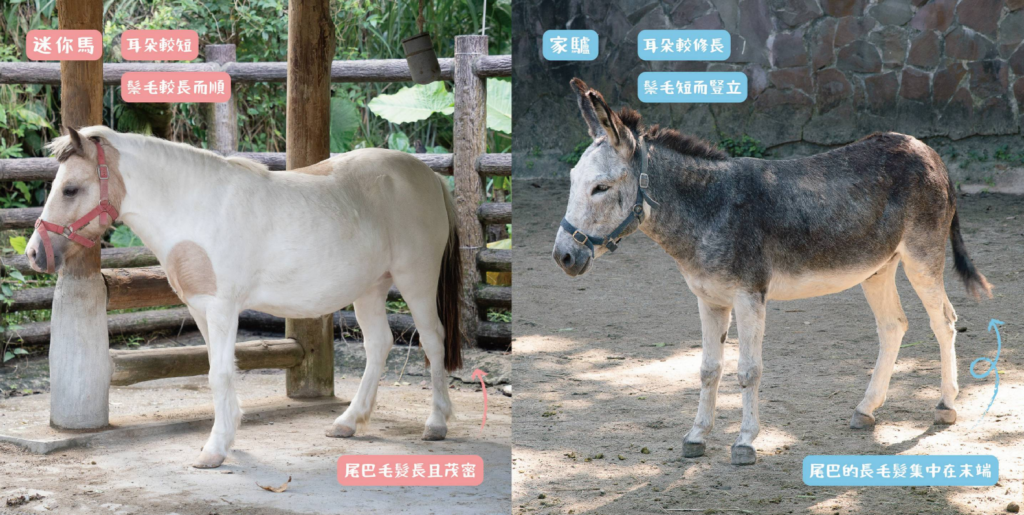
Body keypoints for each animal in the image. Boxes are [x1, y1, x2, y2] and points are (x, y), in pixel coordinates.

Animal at [26, 126, 464, 468]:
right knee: (379, 345)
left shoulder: (222, 308)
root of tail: (428, 176)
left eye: (70, 189)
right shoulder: (201, 309)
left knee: (433, 340)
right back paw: (348, 423)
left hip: (416, 280)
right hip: (370, 287)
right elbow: (219, 371)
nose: (34, 254)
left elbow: (218, 373)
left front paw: (214, 450)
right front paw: (228, 437)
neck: (196, 207)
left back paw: (437, 424)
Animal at [552, 78, 992, 465]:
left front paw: (745, 443)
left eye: (601, 188)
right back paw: (866, 409)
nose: (562, 257)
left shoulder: (749, 297)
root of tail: (927, 148)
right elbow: (708, 369)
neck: (710, 207)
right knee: (893, 326)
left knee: (944, 321)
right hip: (878, 267)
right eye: (573, 181)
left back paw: (945, 406)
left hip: (922, 257)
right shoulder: (709, 299)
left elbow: (748, 371)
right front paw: (696, 437)